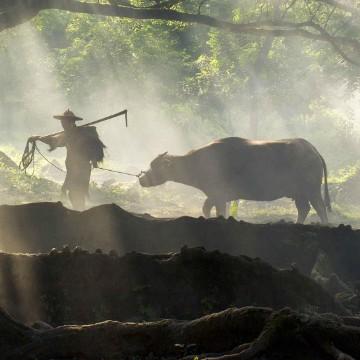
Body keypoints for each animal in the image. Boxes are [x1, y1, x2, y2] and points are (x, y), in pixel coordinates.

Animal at [139, 137, 330, 224]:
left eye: (155, 166)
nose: (141, 179)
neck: (199, 162)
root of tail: (312, 149)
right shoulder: (216, 196)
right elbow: (208, 208)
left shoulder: (218, 194)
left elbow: (215, 210)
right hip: (299, 194)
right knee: (304, 209)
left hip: (312, 189)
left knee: (320, 208)